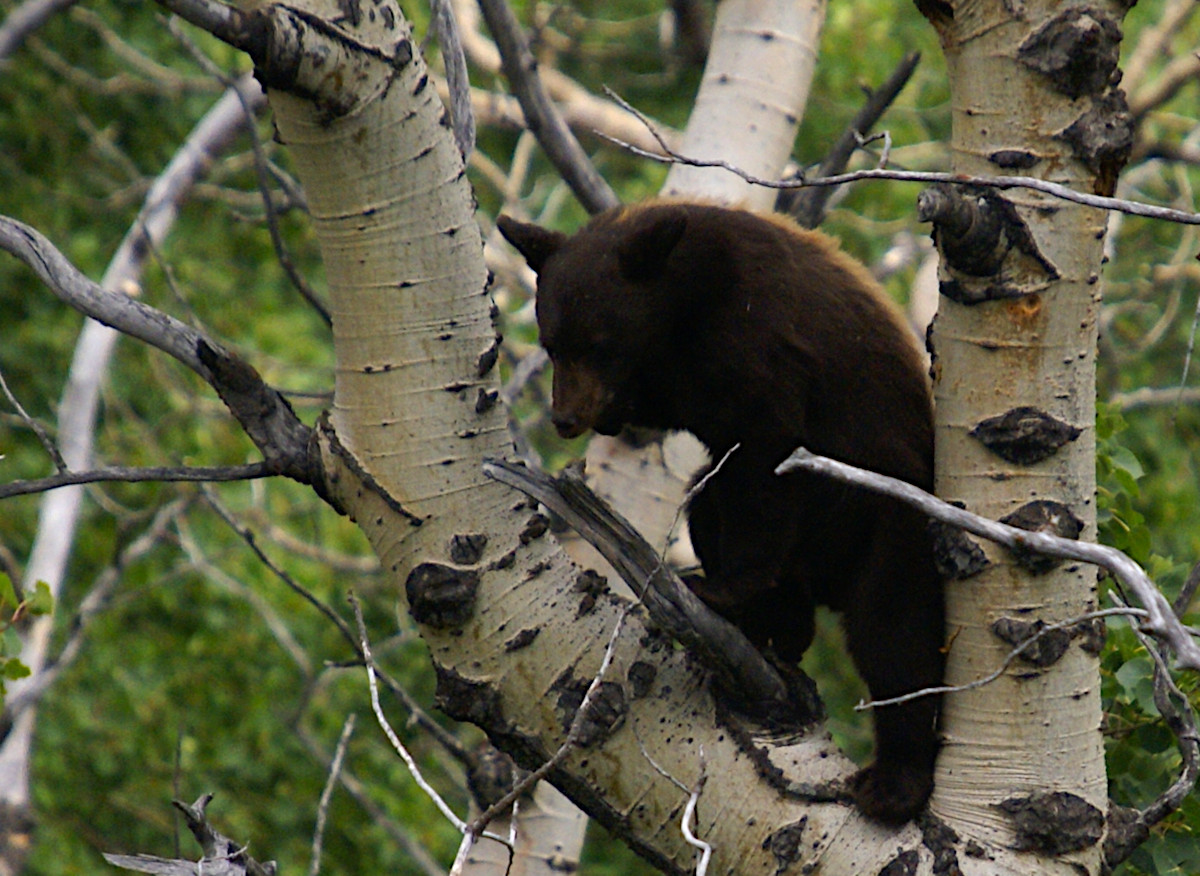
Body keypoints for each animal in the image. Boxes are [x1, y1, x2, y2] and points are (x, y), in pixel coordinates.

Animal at [496, 201, 945, 820]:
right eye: (552, 343)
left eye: (599, 342)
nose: (565, 418)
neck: (684, 307)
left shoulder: (758, 341)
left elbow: (766, 459)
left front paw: (725, 588)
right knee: (709, 505)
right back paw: (779, 629)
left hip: (892, 518)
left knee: (897, 636)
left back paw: (893, 782)